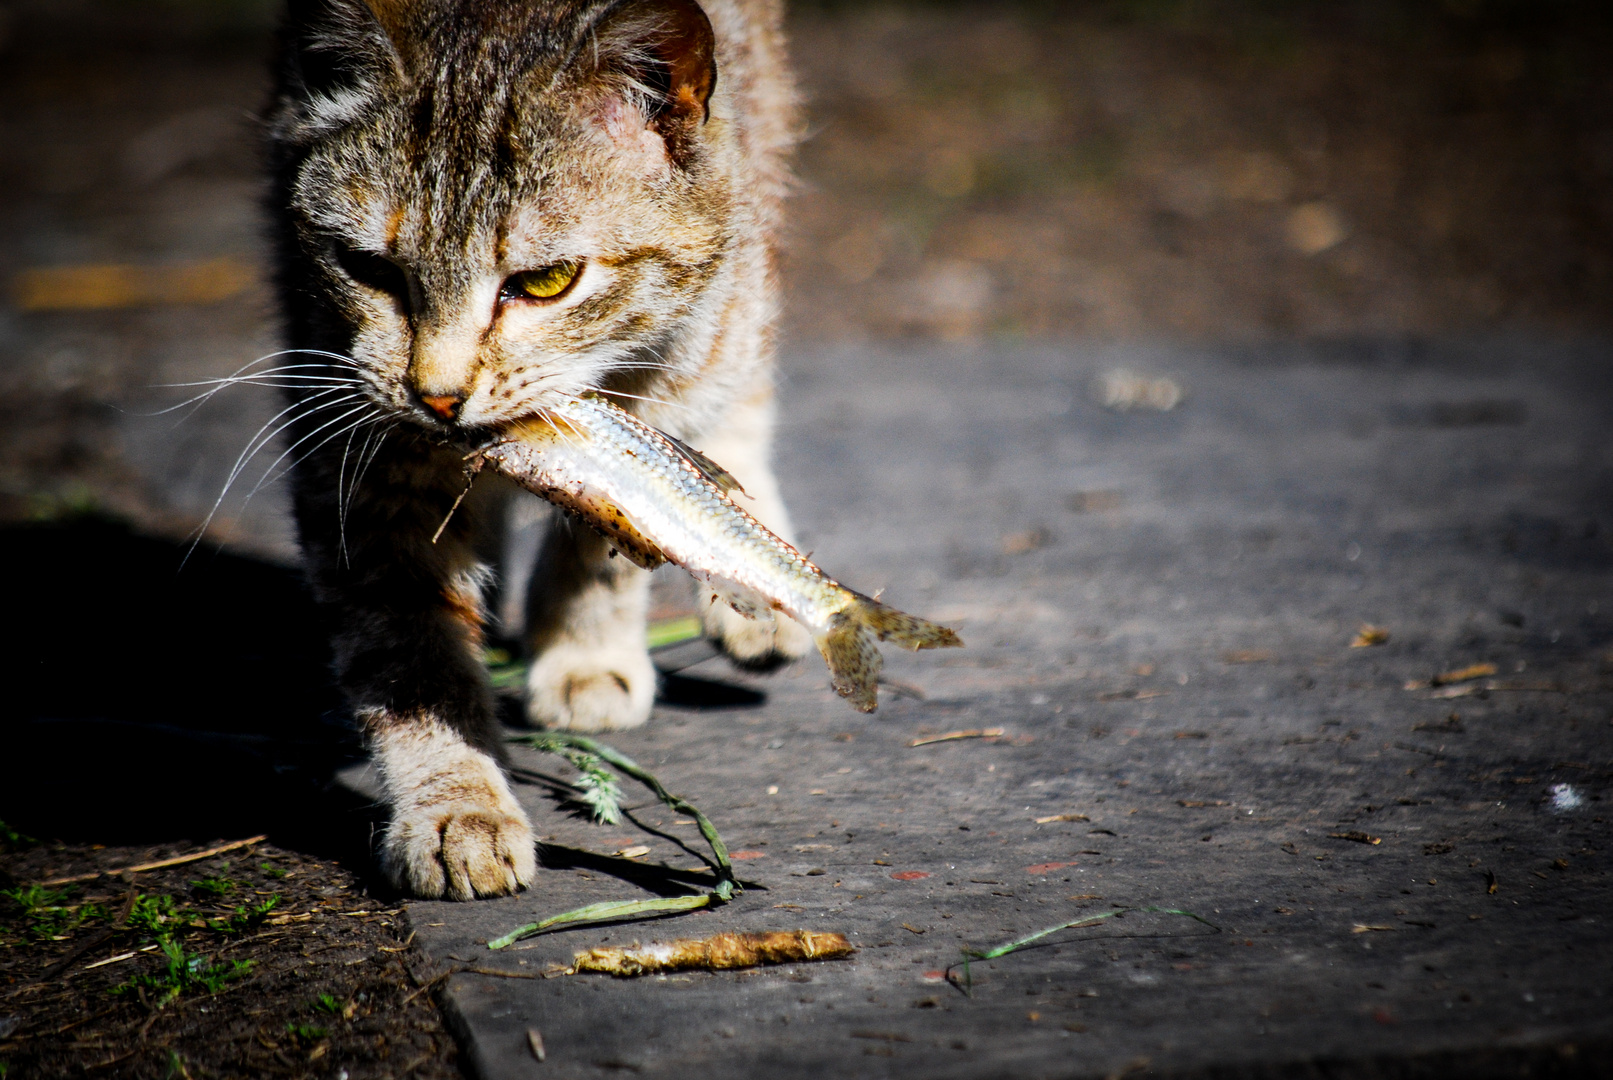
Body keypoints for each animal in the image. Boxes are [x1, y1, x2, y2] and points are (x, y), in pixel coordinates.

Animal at [262, 0, 806, 902]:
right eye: (367, 268)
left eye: (546, 281)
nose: (436, 394)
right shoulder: (357, 463)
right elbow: (409, 654)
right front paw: (457, 804)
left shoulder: (641, 405)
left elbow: (608, 542)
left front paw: (585, 652)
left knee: (741, 373)